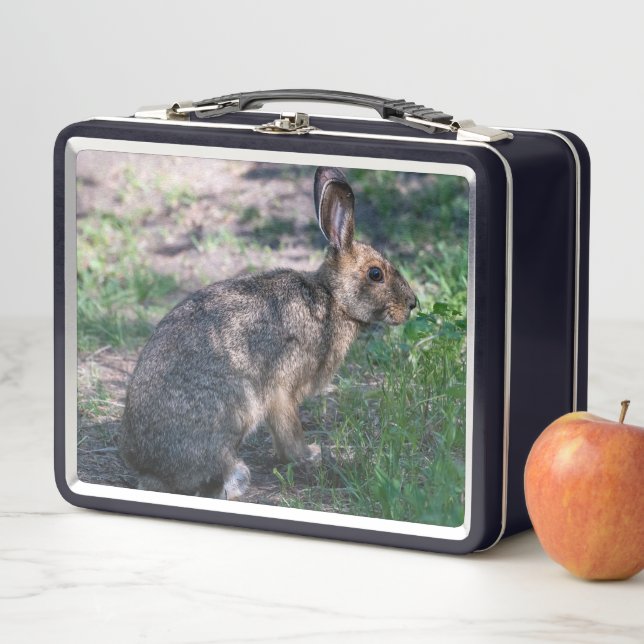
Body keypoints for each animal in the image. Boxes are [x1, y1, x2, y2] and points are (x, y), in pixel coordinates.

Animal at [119, 167, 417, 499]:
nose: (412, 304)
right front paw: (309, 455)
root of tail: (149, 469)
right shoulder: (283, 389)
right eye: (375, 274)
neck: (332, 298)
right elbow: (288, 430)